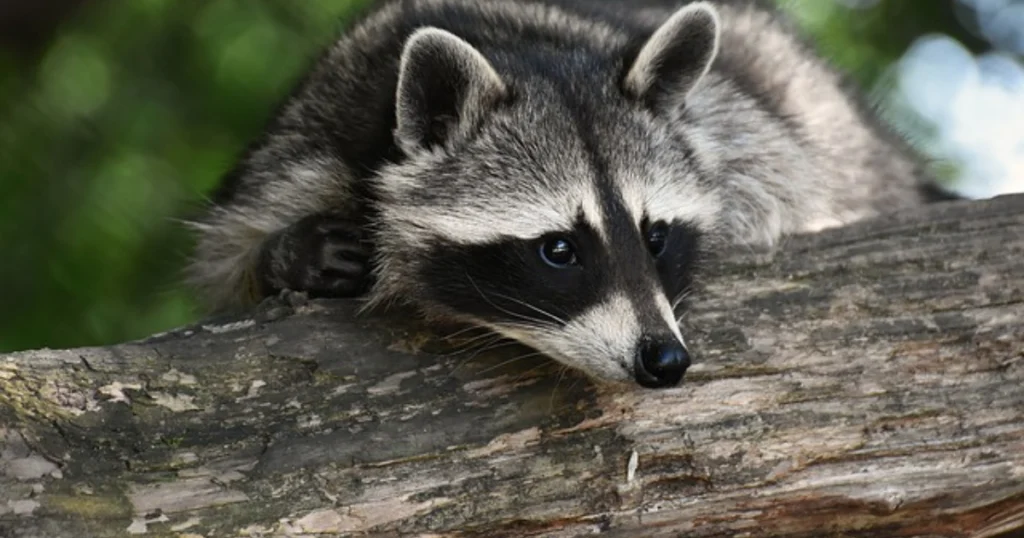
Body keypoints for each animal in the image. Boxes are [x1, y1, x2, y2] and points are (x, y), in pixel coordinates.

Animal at [186, 0, 942, 387]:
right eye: (558, 250)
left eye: (656, 236)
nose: (665, 361)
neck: (520, 48)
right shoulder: (308, 138)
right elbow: (229, 254)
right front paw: (290, 254)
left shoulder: (744, 131)